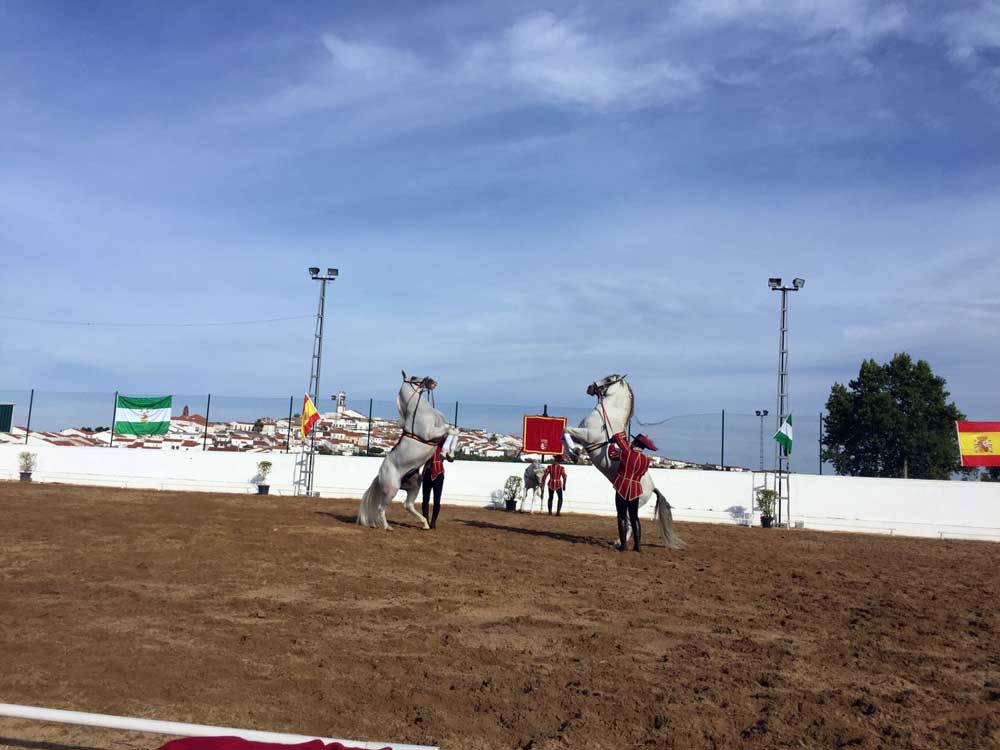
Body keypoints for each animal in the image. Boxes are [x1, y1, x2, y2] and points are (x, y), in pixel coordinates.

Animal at [356, 374, 458, 532]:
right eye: (414, 377)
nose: (432, 381)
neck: (420, 410)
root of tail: (379, 475)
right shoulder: (431, 434)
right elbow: (452, 429)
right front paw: (445, 453)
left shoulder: (439, 436)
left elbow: (454, 431)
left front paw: (449, 454)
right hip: (392, 490)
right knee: (381, 508)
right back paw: (388, 527)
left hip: (415, 486)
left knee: (408, 505)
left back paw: (425, 524)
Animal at [564, 378, 688, 548]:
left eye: (609, 379)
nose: (590, 387)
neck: (607, 416)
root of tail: (653, 488)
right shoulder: (582, 438)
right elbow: (564, 435)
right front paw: (573, 454)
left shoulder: (587, 435)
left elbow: (565, 429)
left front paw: (574, 453)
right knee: (633, 523)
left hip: (631, 504)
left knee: (629, 523)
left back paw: (620, 543)